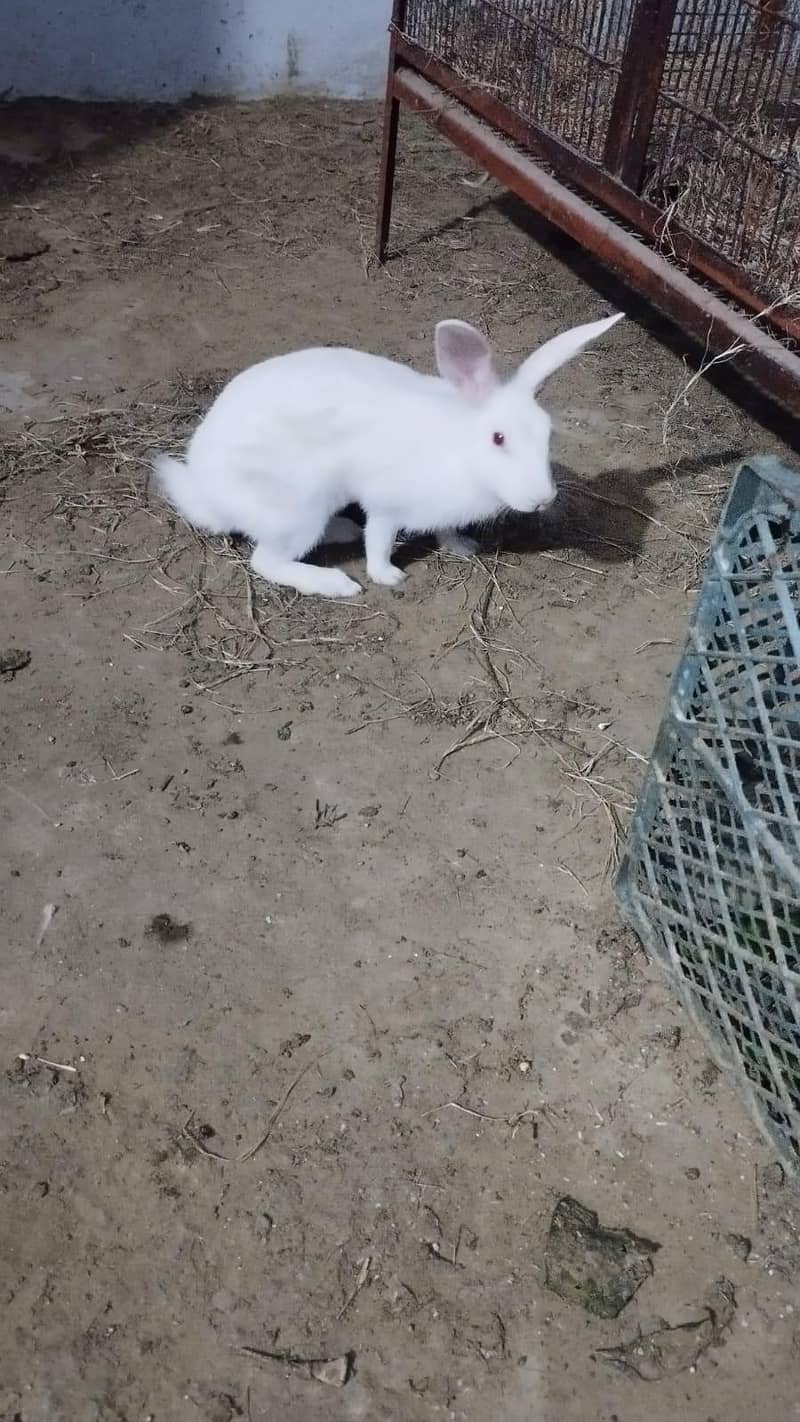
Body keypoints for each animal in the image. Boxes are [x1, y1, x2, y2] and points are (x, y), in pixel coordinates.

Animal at [155, 311, 623, 598]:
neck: (460, 453)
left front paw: (463, 545)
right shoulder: (385, 504)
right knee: (266, 560)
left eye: (547, 433)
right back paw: (336, 583)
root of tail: (208, 494)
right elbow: (379, 541)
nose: (542, 499)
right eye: (498, 438)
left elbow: (445, 530)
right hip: (299, 510)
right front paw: (388, 576)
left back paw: (344, 530)